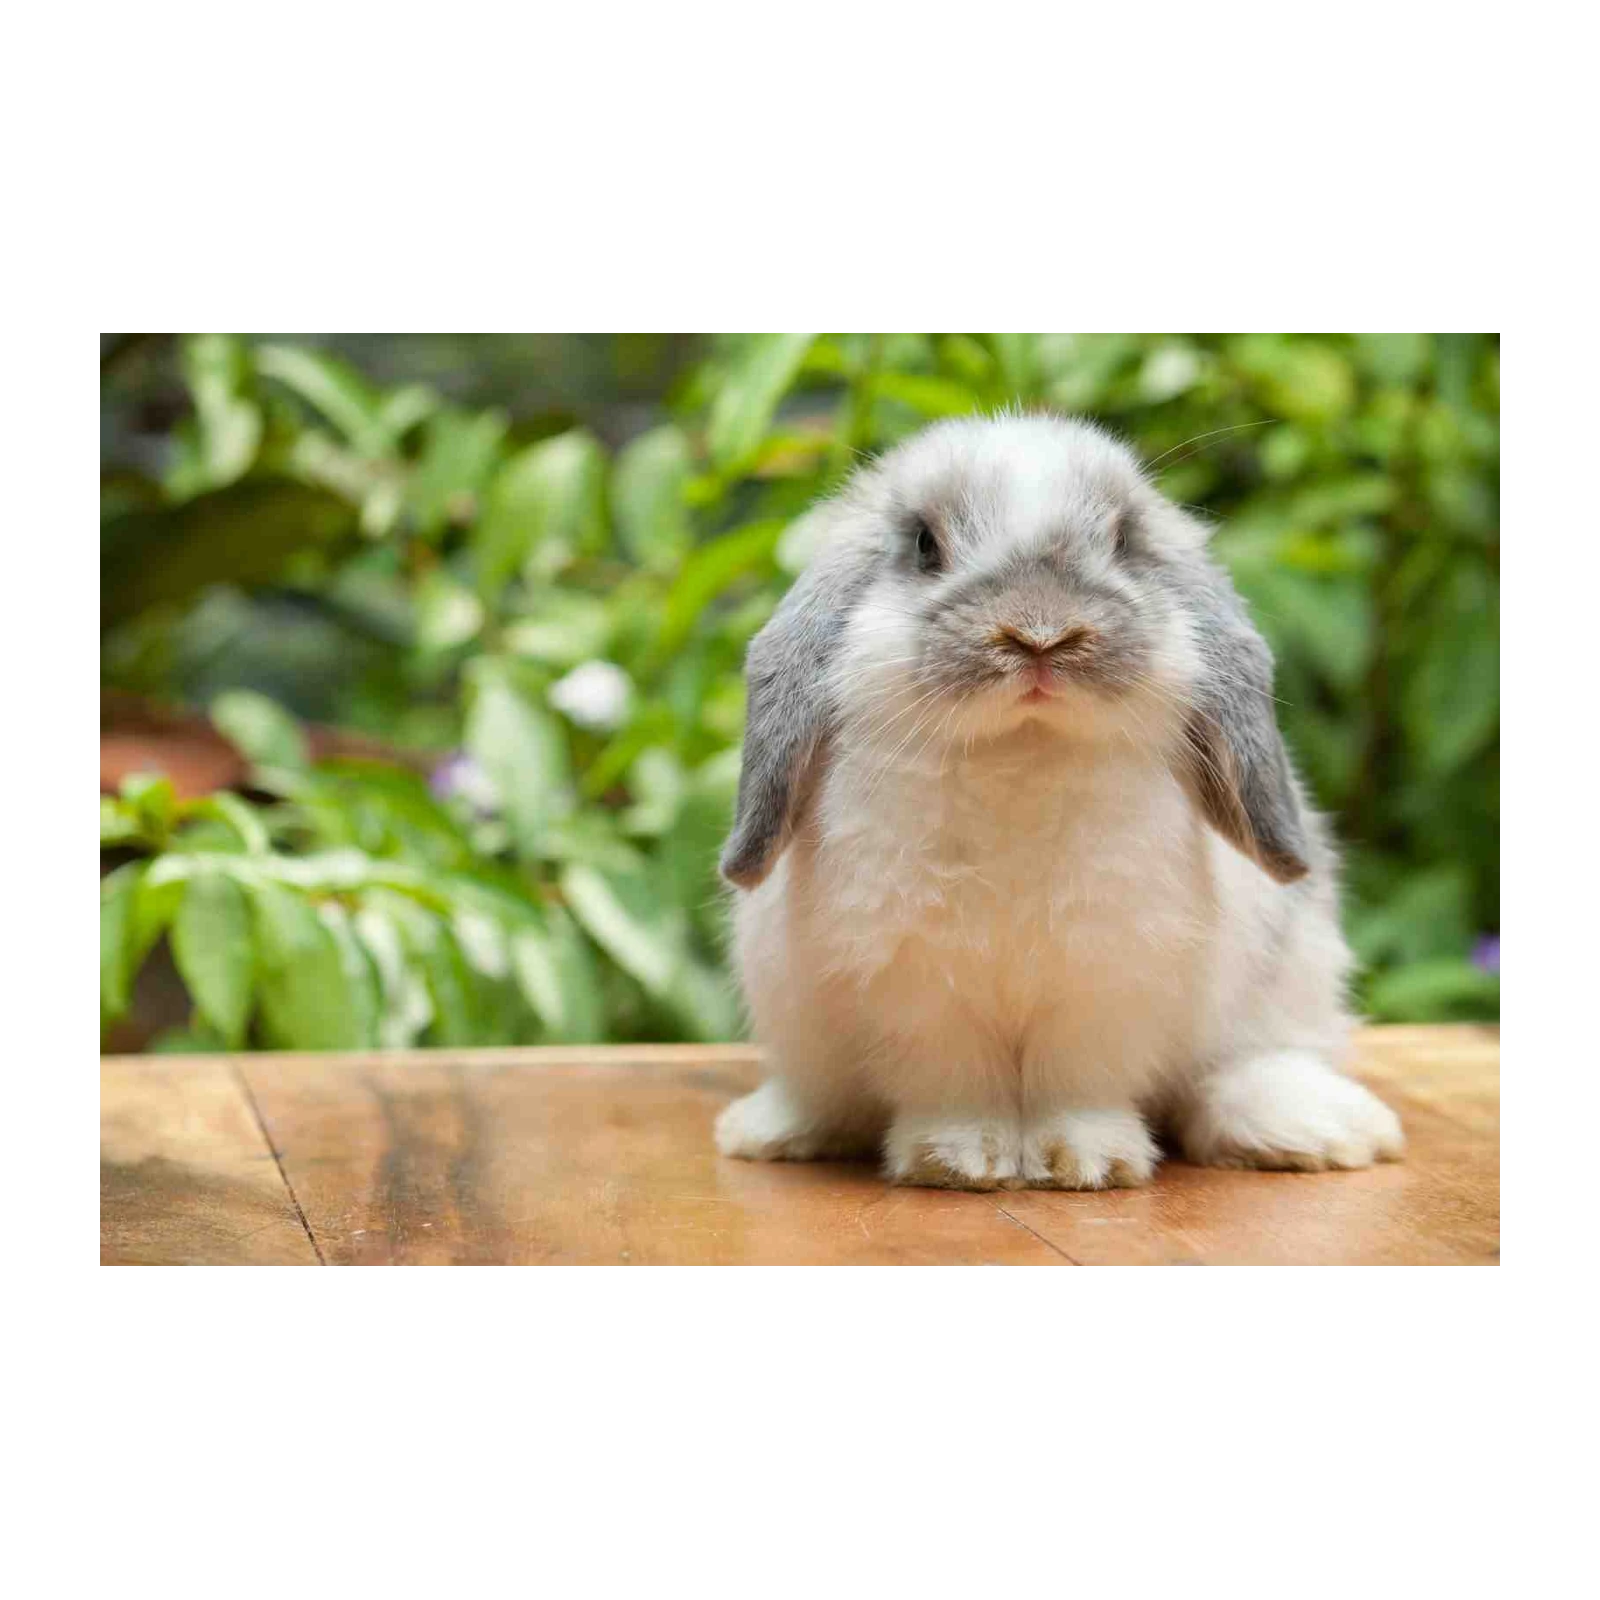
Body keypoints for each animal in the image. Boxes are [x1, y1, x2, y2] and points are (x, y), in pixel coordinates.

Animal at [713, 411, 1404, 1191]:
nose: (1040, 633)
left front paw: (1085, 1161)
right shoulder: (919, 989)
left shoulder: (1106, 979)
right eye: (925, 545)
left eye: (1125, 541)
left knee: (1244, 1069)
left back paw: (1316, 1131)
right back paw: (773, 1129)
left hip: (1289, 980)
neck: (1022, 752)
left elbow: (1077, 1084)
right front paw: (960, 1159)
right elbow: (954, 1084)